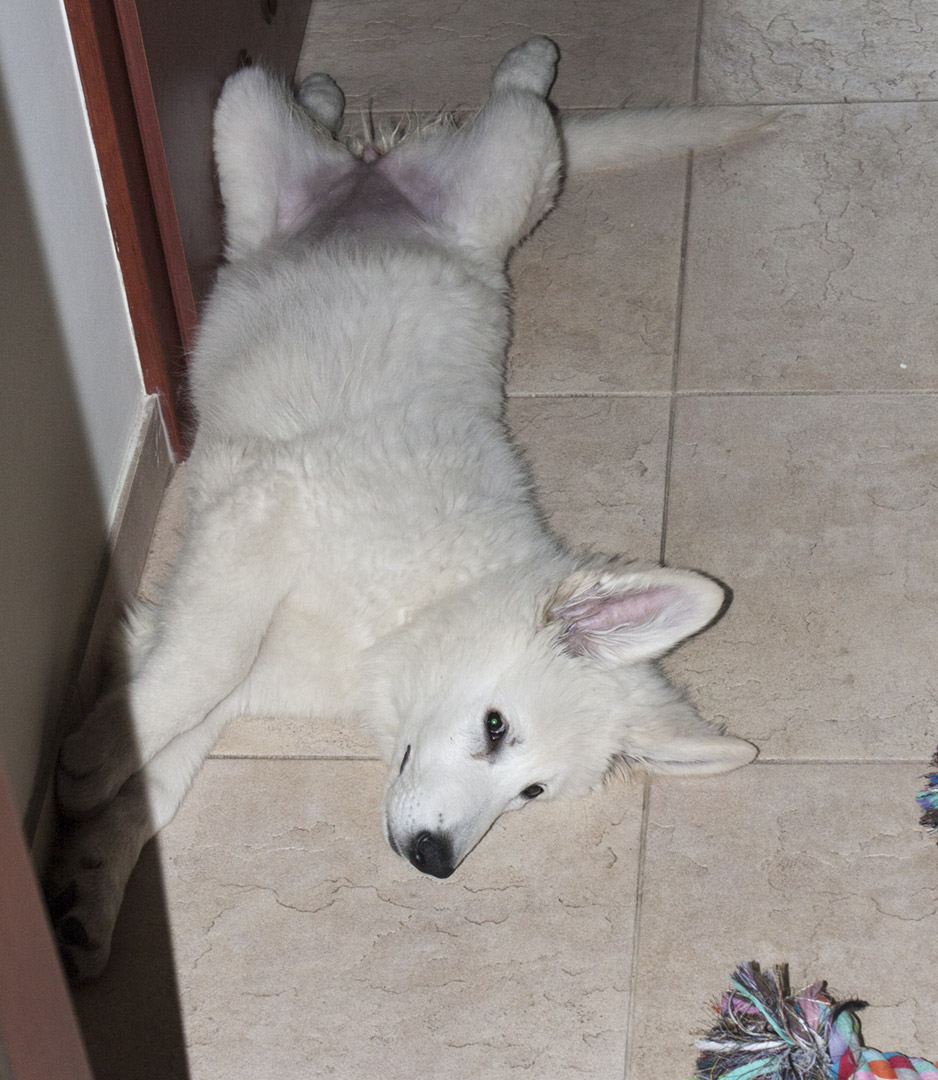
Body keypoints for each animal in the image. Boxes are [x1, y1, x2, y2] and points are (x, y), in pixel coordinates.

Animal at [49, 37, 758, 979]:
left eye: (531, 790)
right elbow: (201, 665)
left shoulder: (250, 660)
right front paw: (92, 761)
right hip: (441, 150)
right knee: (495, 100)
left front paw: (89, 880)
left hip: (495, 184)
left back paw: (335, 91)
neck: (408, 612)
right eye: (495, 727)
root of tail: (377, 181)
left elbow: (164, 770)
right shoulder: (262, 516)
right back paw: (519, 58)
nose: (435, 862)